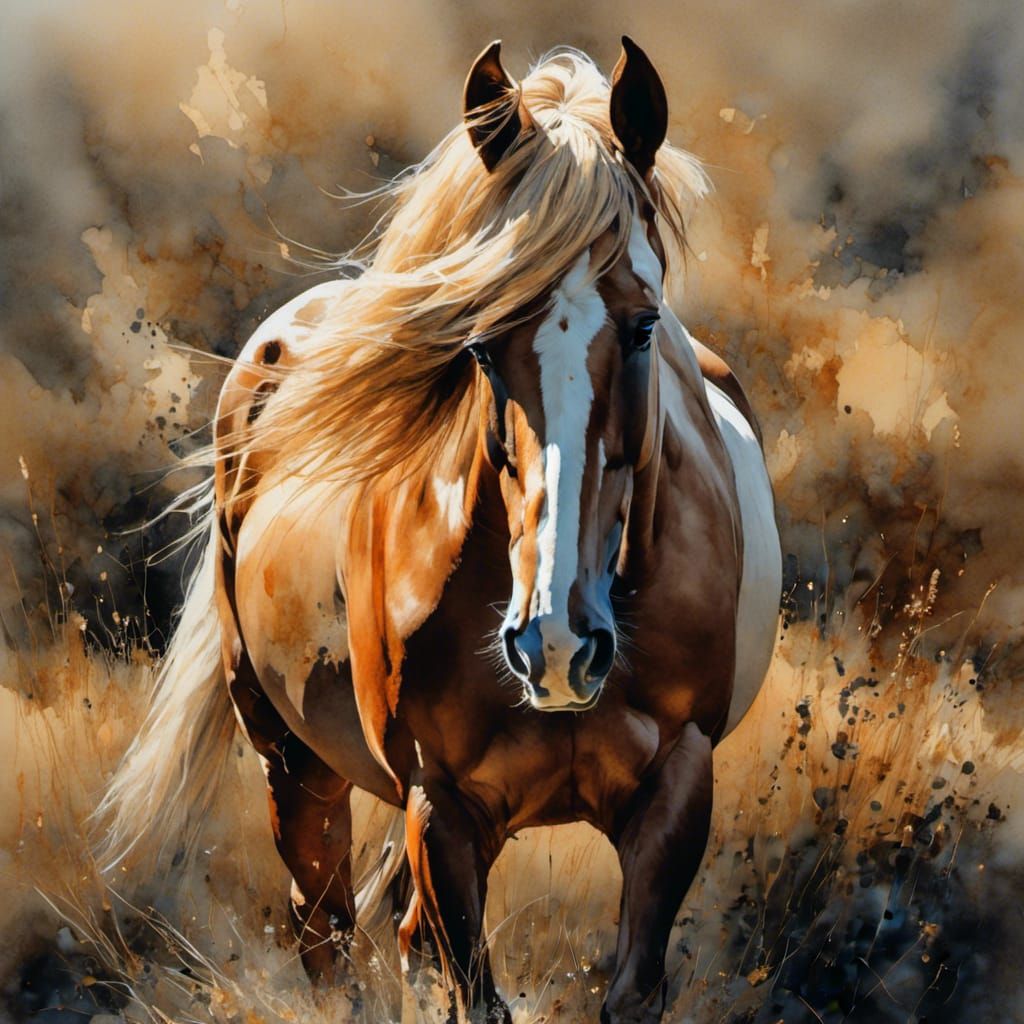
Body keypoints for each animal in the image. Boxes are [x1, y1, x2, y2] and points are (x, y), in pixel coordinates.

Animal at [98, 38, 782, 1024]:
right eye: (481, 341)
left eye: (646, 324)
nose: (557, 646)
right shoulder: (441, 807)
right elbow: (468, 989)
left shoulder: (678, 792)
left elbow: (629, 989)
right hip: (292, 762)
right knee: (325, 929)